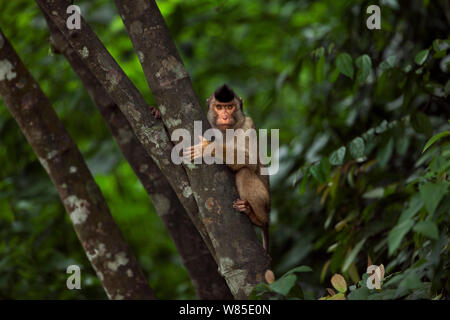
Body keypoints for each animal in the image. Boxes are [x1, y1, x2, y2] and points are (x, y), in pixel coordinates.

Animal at [184, 84, 270, 252]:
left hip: (265, 201)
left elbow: (250, 160)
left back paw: (257, 218)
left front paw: (206, 147)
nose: (224, 116)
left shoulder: (248, 124)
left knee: (244, 172)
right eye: (219, 107)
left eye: (230, 107)